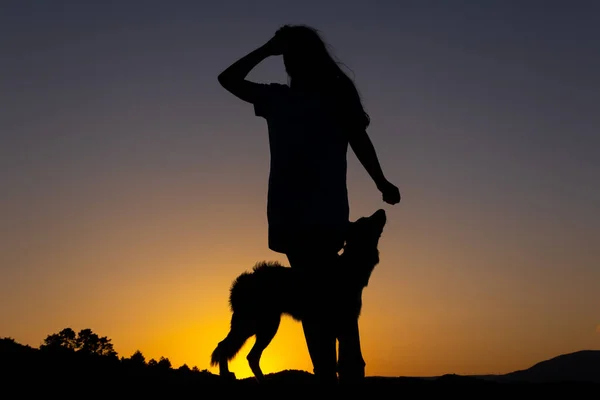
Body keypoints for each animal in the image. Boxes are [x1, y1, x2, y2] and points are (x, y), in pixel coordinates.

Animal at [211, 209, 386, 382]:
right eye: (365, 220)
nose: (382, 210)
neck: (350, 266)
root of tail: (240, 282)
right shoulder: (342, 322)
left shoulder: (340, 322)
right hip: (254, 324)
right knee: (224, 347)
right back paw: (226, 374)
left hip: (264, 325)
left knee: (250, 356)